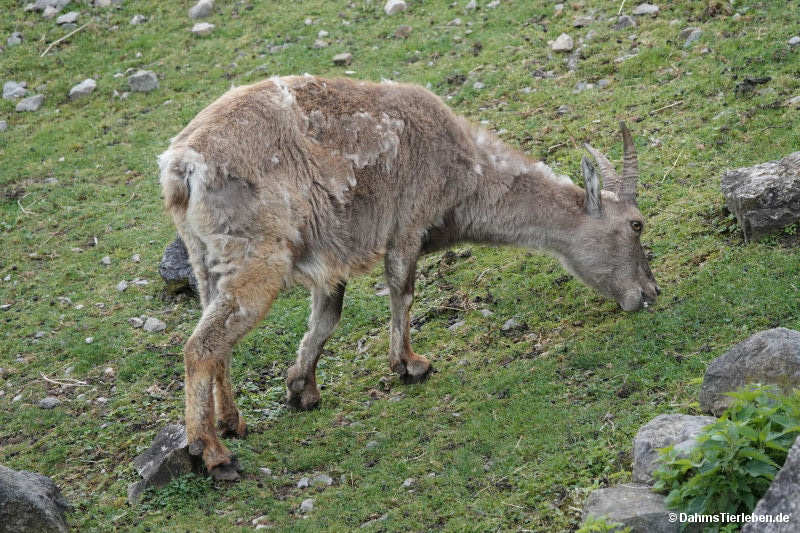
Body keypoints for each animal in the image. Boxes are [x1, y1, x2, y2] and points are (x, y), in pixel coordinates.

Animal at [158, 76, 659, 479]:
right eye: (636, 224)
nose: (650, 292)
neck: (465, 170)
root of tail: (183, 166)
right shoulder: (407, 225)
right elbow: (402, 290)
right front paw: (410, 364)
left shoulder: (331, 260)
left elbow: (326, 318)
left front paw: (303, 388)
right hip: (256, 259)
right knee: (200, 347)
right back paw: (214, 454)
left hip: (206, 259)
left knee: (217, 339)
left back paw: (232, 422)